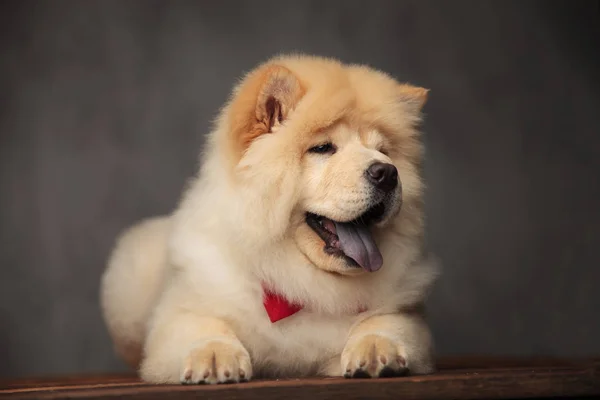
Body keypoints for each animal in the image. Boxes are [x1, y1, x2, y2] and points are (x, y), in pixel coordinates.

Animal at [101, 54, 438, 384]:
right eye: (323, 148)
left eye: (383, 151)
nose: (387, 173)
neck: (297, 281)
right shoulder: (178, 314)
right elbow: (205, 326)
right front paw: (213, 357)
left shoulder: (406, 313)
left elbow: (384, 323)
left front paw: (379, 350)